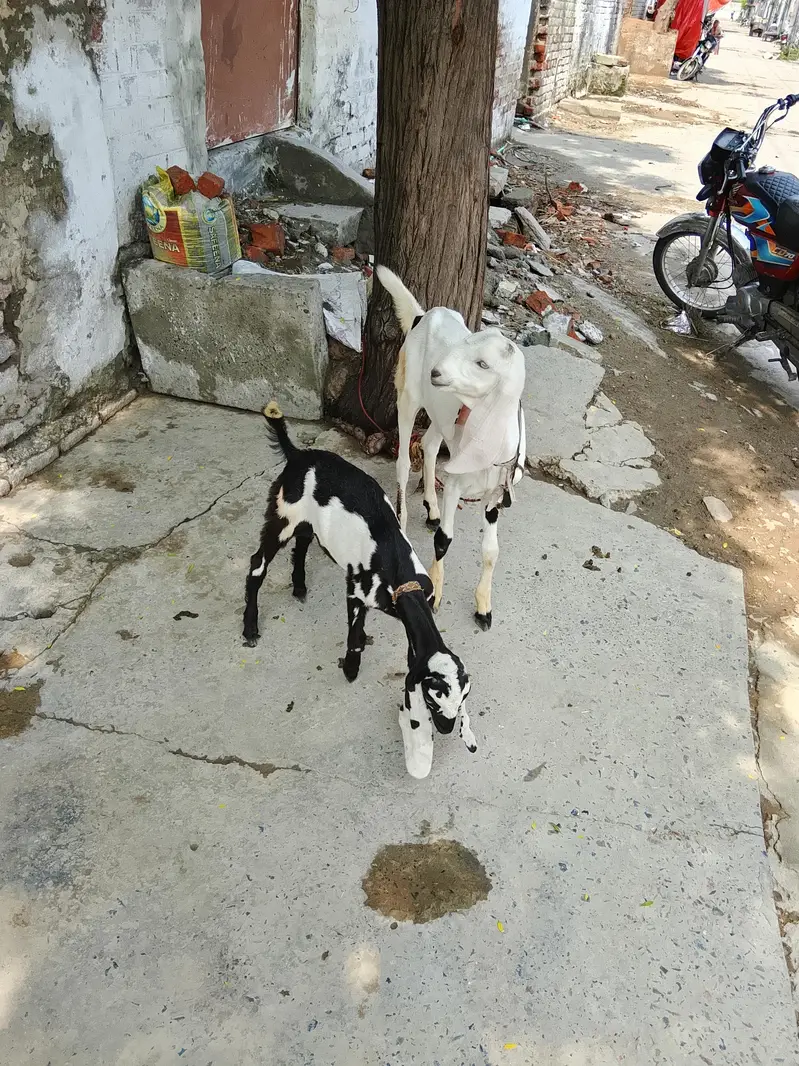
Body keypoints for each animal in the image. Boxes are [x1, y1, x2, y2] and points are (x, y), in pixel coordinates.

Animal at [242, 403, 476, 779]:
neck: (398, 569)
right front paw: (351, 669)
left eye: (461, 700)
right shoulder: (356, 590)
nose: (444, 729)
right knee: (257, 565)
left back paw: (299, 585)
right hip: (282, 517)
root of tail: (297, 456)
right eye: (432, 698)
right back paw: (250, 627)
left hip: (308, 523)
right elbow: (353, 635)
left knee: (302, 545)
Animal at [376, 266, 527, 631]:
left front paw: (484, 607)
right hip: (408, 395)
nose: (437, 372)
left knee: (429, 444)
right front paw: (434, 594)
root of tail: (422, 316)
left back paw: (431, 507)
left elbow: (491, 550)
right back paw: (404, 519)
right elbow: (444, 540)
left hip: (440, 415)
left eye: (484, 364)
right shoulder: (457, 484)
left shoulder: (495, 494)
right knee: (404, 461)